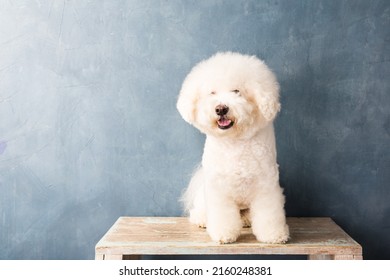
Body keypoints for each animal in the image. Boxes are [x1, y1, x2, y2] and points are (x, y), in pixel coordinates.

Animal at [177, 52, 290, 243]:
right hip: (203, 197)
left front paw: (274, 235)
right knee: (197, 211)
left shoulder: (266, 186)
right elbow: (222, 214)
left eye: (237, 91)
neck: (234, 142)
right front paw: (224, 234)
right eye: (212, 92)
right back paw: (202, 220)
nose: (221, 109)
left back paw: (246, 220)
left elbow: (269, 213)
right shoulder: (218, 189)